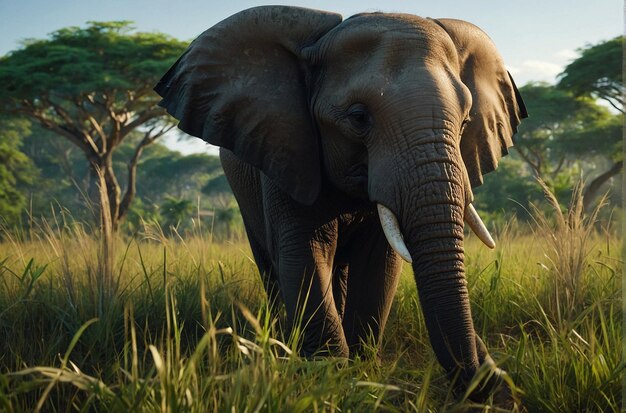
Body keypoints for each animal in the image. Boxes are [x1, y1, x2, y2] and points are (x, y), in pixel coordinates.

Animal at [154, 4, 524, 400]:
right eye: (359, 117)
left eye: (466, 121)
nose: (493, 375)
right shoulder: (286, 148)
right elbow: (305, 253)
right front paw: (327, 376)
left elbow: (379, 263)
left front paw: (359, 370)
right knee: (271, 263)